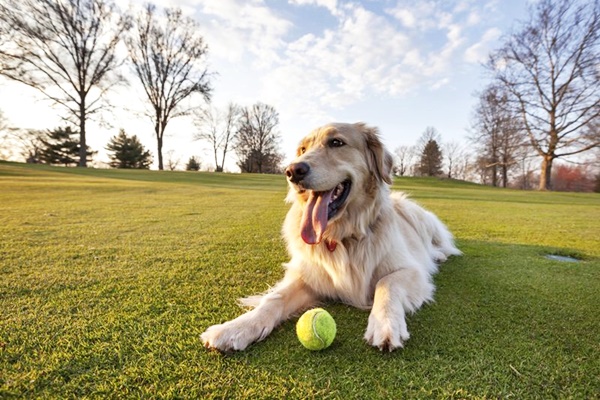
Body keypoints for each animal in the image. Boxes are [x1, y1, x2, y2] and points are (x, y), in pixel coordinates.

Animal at [202, 123, 460, 352]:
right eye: (302, 149)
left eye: (336, 142)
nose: (292, 171)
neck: (342, 236)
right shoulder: (309, 276)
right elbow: (274, 298)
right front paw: (236, 327)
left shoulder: (411, 271)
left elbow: (386, 283)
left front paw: (385, 324)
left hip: (418, 216)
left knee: (442, 245)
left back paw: (438, 255)